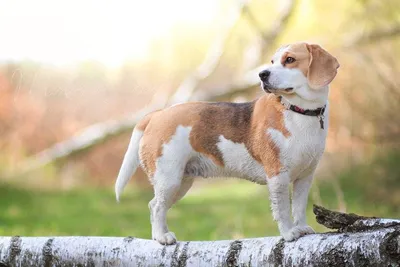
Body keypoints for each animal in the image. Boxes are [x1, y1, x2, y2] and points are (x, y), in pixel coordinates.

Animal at [114, 43, 340, 246]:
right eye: (272, 62)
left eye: (290, 59)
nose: (262, 75)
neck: (300, 112)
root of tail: (157, 114)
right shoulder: (278, 176)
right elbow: (283, 210)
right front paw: (289, 233)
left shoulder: (305, 177)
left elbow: (299, 207)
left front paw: (301, 228)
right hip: (168, 179)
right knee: (156, 207)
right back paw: (162, 237)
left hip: (181, 182)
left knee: (155, 206)